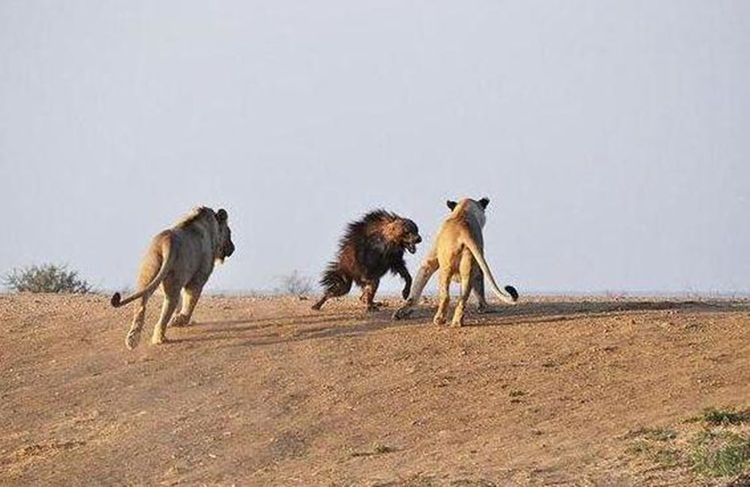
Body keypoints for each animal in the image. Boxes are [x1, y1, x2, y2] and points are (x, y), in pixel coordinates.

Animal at [111, 208, 235, 348]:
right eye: (229, 232)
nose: (233, 248)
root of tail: (167, 242)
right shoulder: (198, 278)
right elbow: (190, 301)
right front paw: (181, 320)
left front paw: (176, 318)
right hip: (175, 279)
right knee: (167, 309)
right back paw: (160, 338)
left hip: (148, 272)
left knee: (141, 304)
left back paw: (132, 340)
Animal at [394, 198, 516, 328]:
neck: (462, 211)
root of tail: (463, 230)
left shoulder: (430, 260)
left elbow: (419, 281)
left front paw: (402, 312)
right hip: (469, 262)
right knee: (463, 298)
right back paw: (457, 322)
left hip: (445, 268)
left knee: (446, 296)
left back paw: (439, 319)